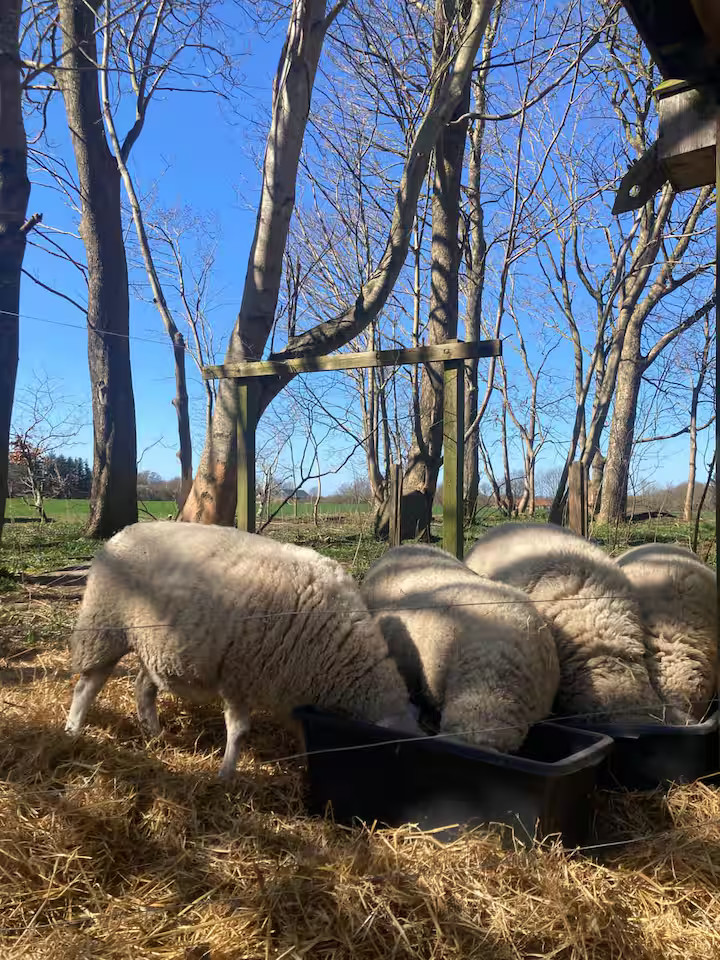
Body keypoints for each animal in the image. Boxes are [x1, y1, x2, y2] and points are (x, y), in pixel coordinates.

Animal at [65, 522, 419, 778]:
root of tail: (122, 532)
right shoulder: (240, 676)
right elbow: (238, 731)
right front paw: (226, 773)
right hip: (104, 626)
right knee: (88, 685)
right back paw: (72, 729)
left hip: (155, 644)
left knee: (143, 687)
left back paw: (154, 734)